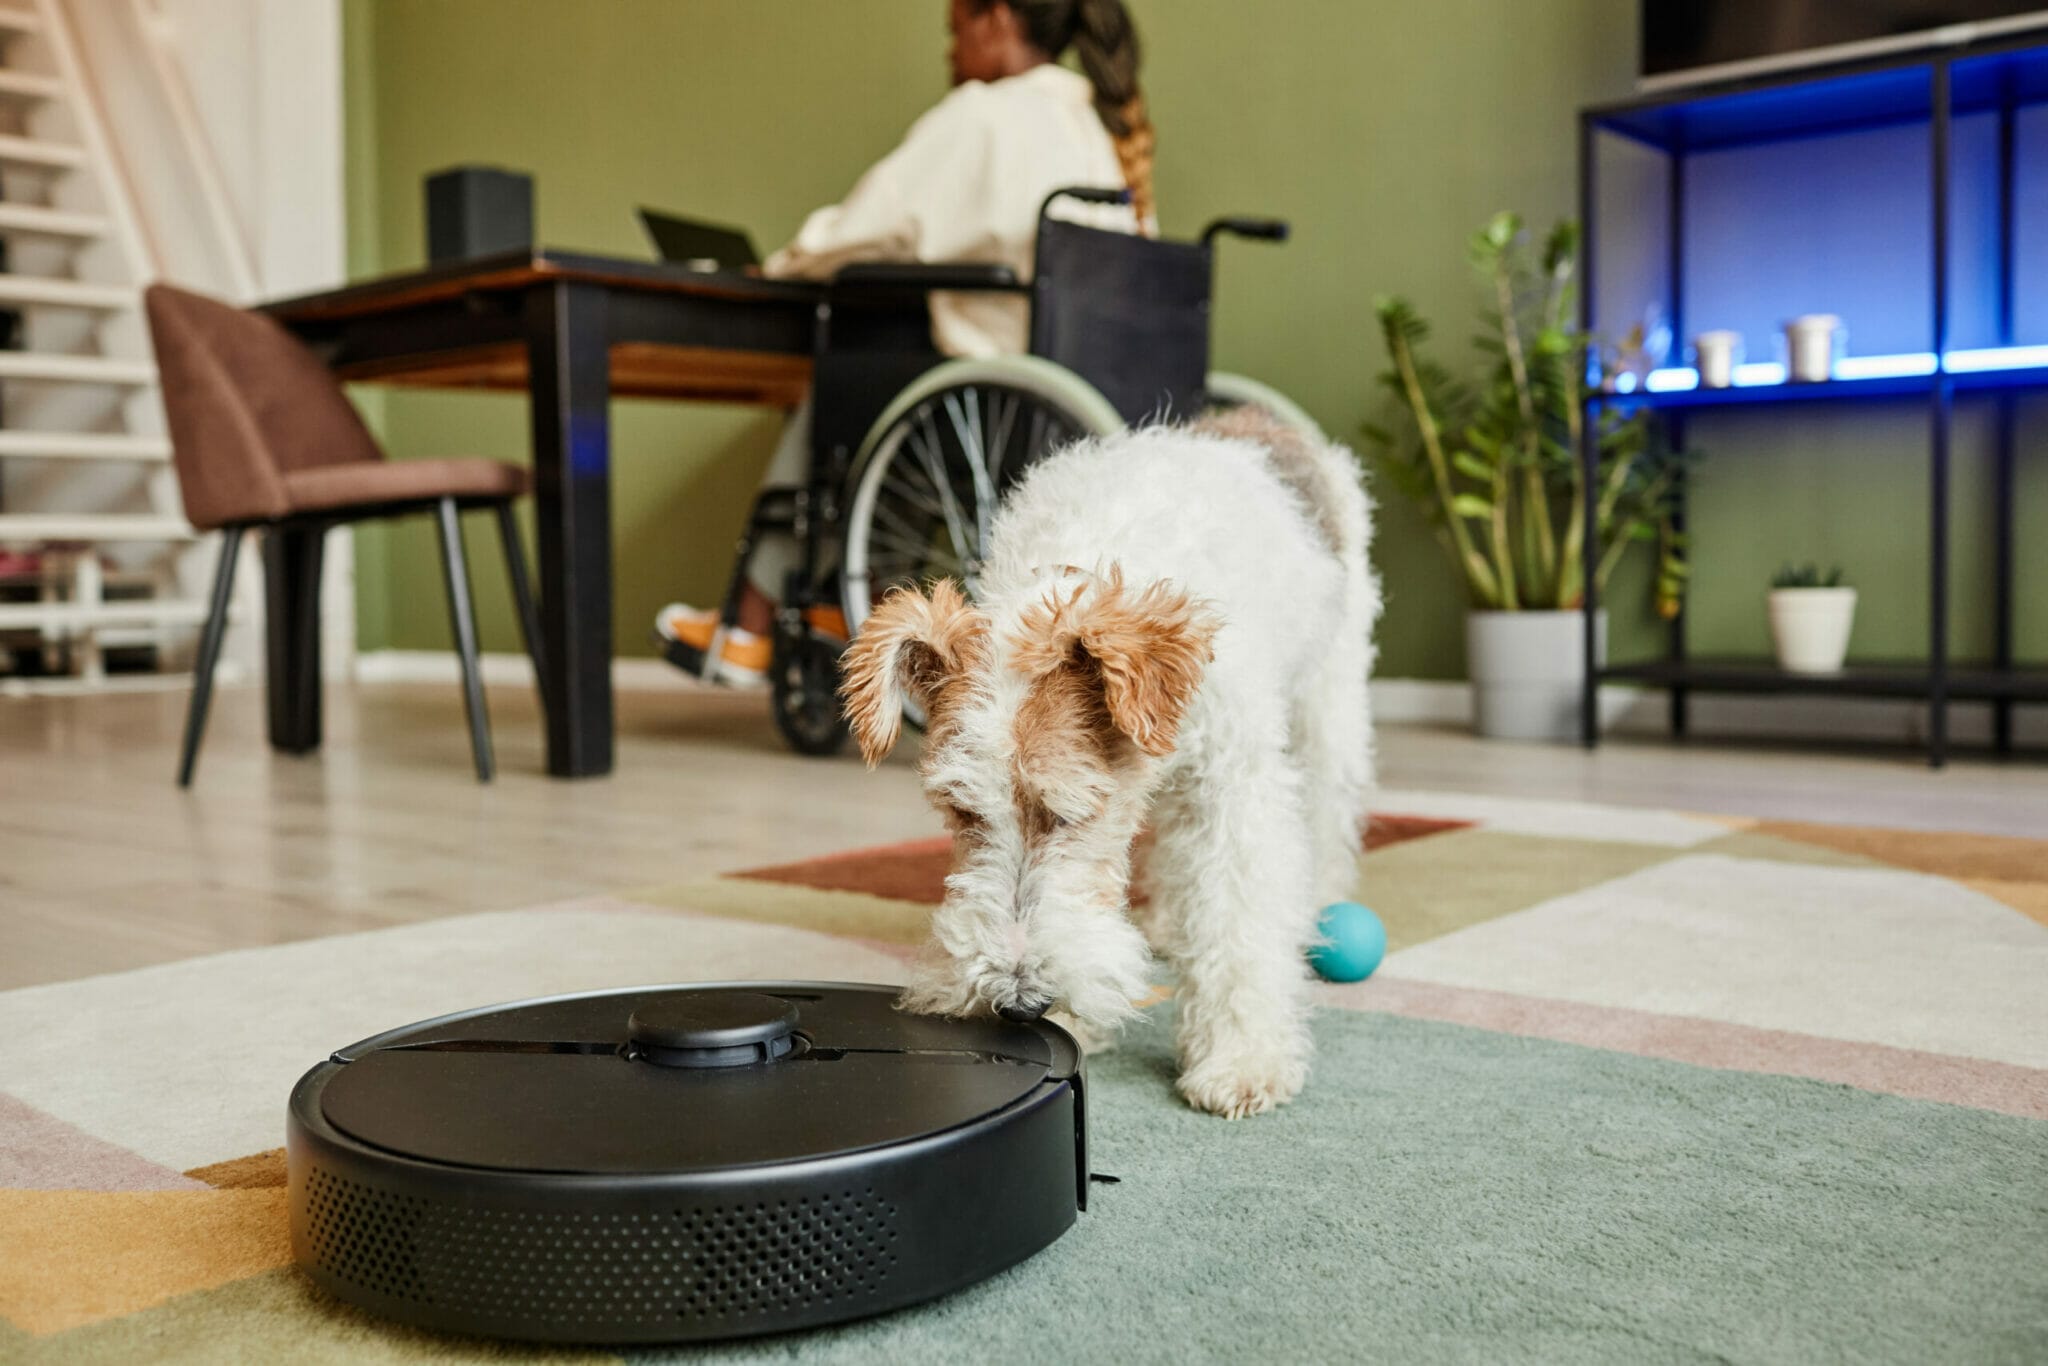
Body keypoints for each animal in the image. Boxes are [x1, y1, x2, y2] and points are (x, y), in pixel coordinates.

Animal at [839, 411, 1384, 1114]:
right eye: (962, 812)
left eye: (1070, 814)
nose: (1020, 1004)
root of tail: (1261, 420)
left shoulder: (1231, 782)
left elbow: (1238, 915)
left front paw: (1241, 1059)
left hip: (1329, 697)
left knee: (1325, 817)